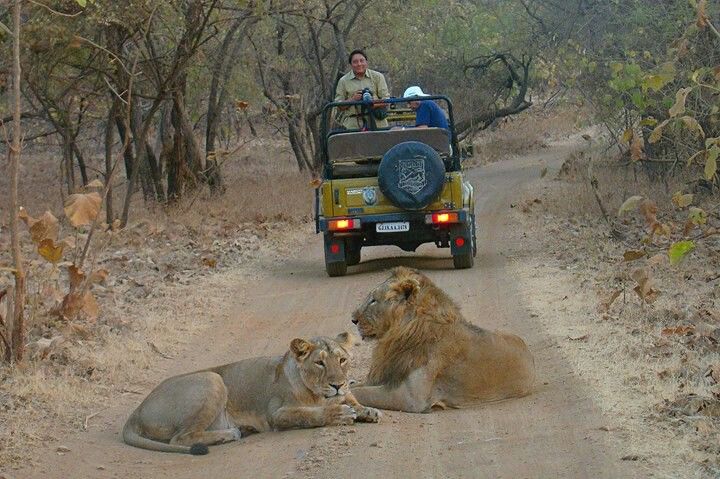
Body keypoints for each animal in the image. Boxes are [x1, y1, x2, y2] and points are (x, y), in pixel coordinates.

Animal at [122, 332, 382, 456]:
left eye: (342, 360)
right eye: (319, 363)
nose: (338, 384)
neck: (317, 393)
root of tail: (136, 411)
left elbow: (352, 399)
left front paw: (368, 411)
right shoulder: (276, 414)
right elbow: (309, 414)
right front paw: (339, 414)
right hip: (212, 379)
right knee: (181, 438)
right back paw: (231, 433)